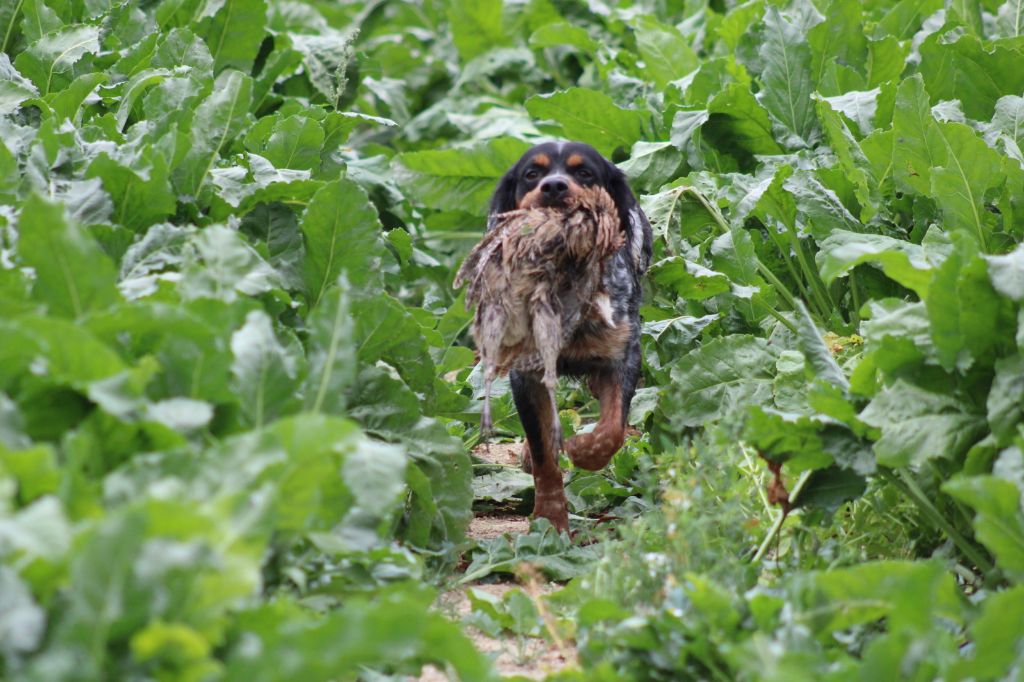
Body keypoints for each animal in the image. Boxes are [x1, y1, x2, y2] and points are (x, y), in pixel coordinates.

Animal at [485, 140, 651, 528]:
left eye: (585, 172)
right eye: (532, 173)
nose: (554, 187)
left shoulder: (622, 356)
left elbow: (612, 429)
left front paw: (584, 450)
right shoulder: (527, 373)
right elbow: (544, 454)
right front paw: (550, 519)